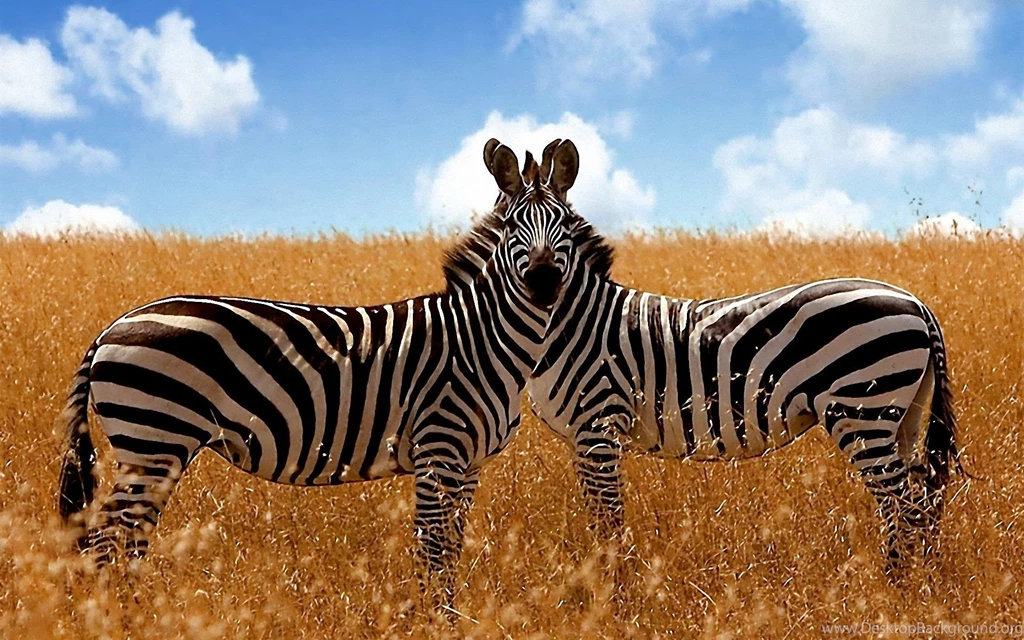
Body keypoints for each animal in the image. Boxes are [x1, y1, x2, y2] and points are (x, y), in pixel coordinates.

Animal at [56, 137, 595, 611]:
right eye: (512, 228)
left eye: (567, 226)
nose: (543, 281)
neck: (484, 336)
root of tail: (110, 329)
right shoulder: (438, 449)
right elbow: (433, 549)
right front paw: (434, 619)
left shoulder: (468, 464)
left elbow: (451, 549)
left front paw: (448, 614)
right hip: (154, 439)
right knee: (107, 542)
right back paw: (120, 617)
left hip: (150, 448)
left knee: (121, 541)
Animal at [450, 190, 964, 577]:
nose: (542, 285)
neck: (576, 322)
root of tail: (916, 302)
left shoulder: (596, 423)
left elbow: (606, 519)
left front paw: (611, 593)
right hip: (902, 414)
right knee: (920, 500)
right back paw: (914, 584)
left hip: (862, 409)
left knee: (903, 507)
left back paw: (894, 589)